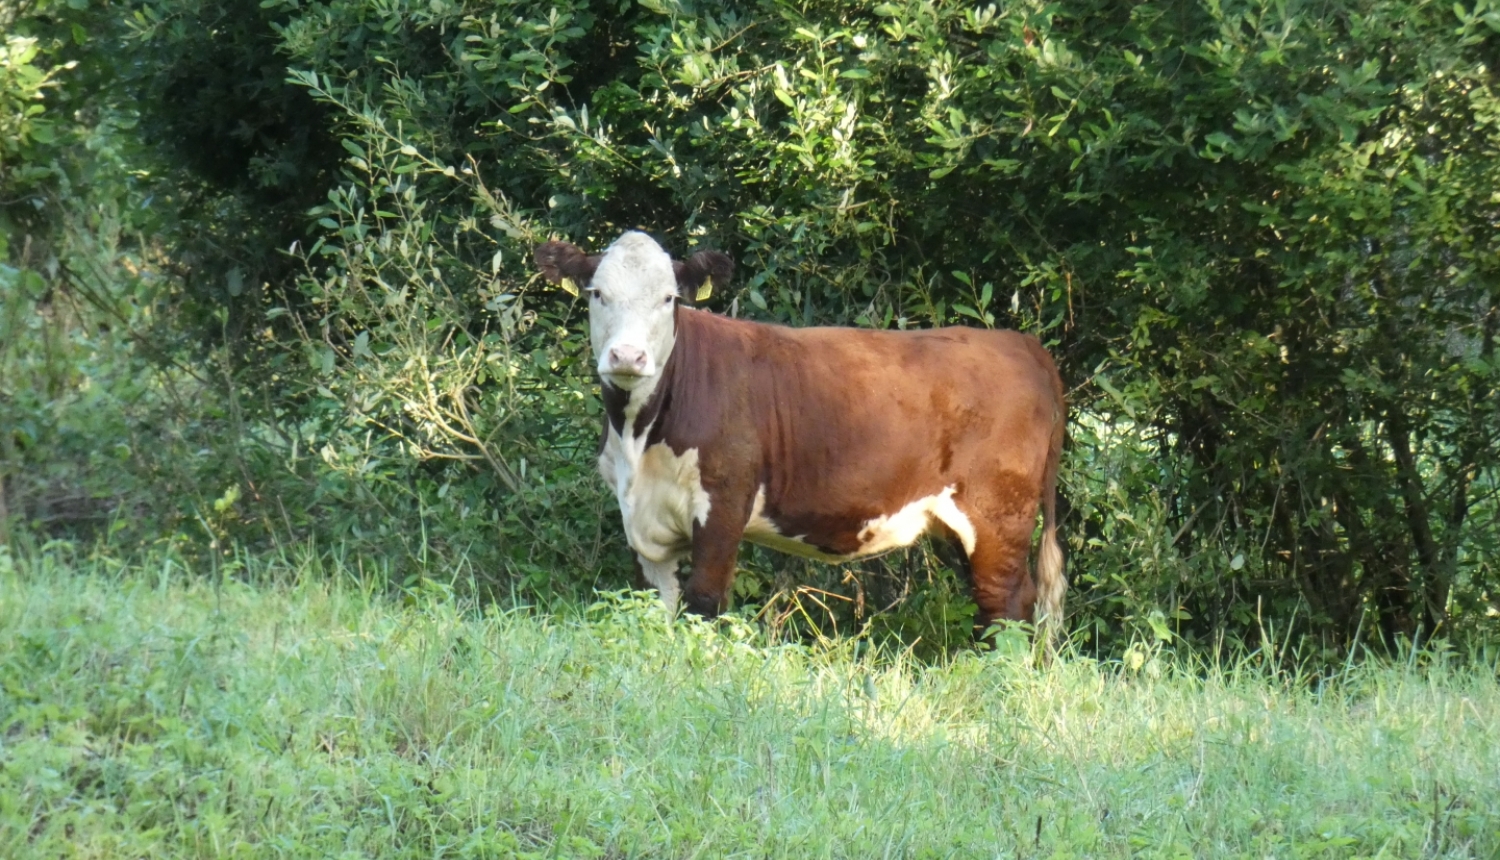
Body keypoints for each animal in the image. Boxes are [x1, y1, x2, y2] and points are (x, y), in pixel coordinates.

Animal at [537, 228, 1068, 636]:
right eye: (597, 294)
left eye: (669, 298)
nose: (628, 356)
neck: (638, 440)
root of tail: (1020, 344)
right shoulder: (640, 520)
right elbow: (655, 606)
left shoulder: (724, 502)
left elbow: (703, 602)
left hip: (998, 511)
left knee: (1007, 603)